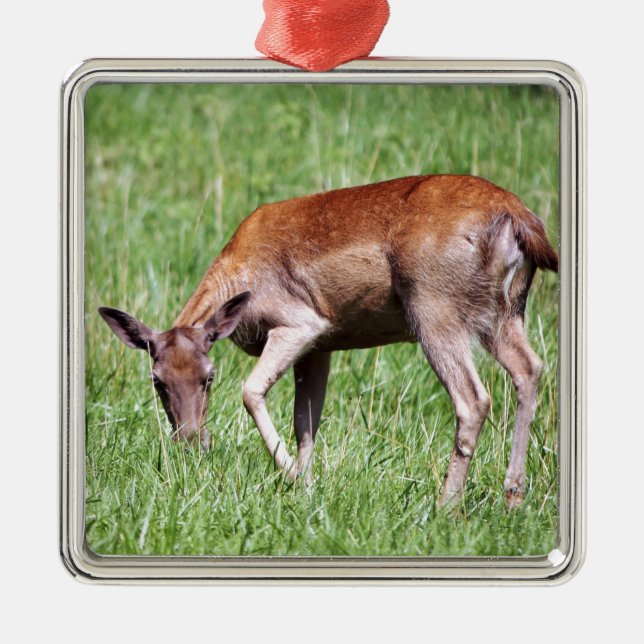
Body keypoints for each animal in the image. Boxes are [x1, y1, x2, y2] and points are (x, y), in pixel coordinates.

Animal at [99, 174, 558, 508]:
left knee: (473, 398)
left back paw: (445, 505)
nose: (192, 439)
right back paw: (512, 495)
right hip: (505, 312)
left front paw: (291, 476)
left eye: (210, 377)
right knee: (530, 368)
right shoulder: (321, 347)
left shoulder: (303, 323)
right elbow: (306, 422)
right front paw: (306, 487)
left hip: (435, 305)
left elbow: (251, 390)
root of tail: (521, 221)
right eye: (157, 381)